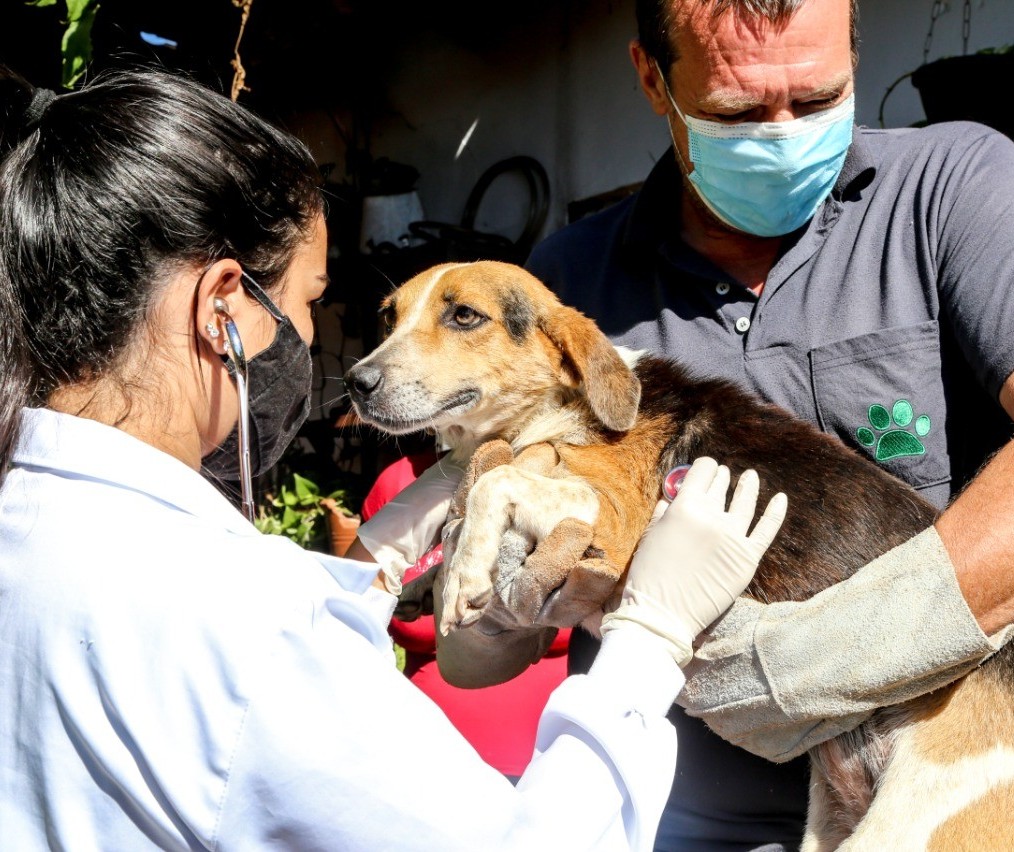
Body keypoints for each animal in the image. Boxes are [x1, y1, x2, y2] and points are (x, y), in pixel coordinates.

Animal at [344, 263, 1009, 847]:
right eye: (388, 316)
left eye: (464, 315)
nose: (356, 382)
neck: (560, 407)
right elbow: (477, 487)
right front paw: (416, 571)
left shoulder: (608, 519)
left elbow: (493, 481)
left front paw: (464, 574)